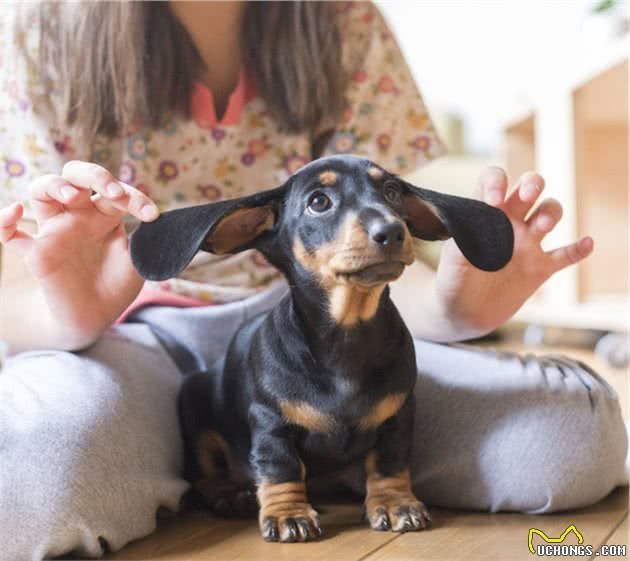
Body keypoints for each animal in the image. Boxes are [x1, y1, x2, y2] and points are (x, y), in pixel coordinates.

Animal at [130, 155, 512, 540]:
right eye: (318, 202)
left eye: (391, 192)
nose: (391, 232)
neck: (346, 336)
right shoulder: (271, 423)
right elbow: (281, 468)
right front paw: (288, 514)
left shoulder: (398, 416)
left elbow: (389, 464)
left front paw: (395, 504)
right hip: (196, 411)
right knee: (203, 474)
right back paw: (229, 494)